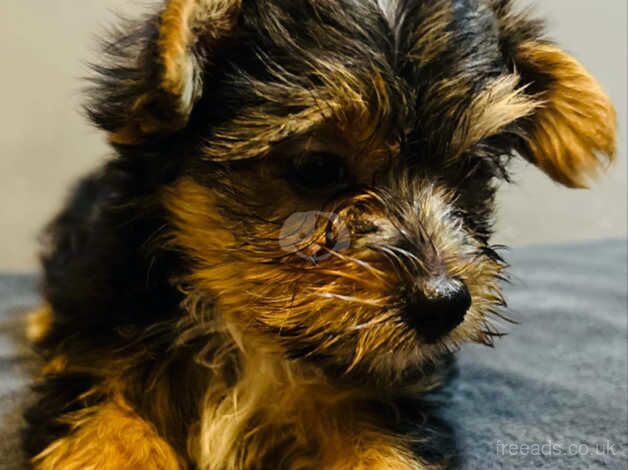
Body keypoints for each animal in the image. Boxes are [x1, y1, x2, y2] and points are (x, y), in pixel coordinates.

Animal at [23, 0, 612, 470]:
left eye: (470, 168)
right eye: (316, 168)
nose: (444, 304)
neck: (252, 337)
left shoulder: (378, 401)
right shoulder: (98, 364)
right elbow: (106, 433)